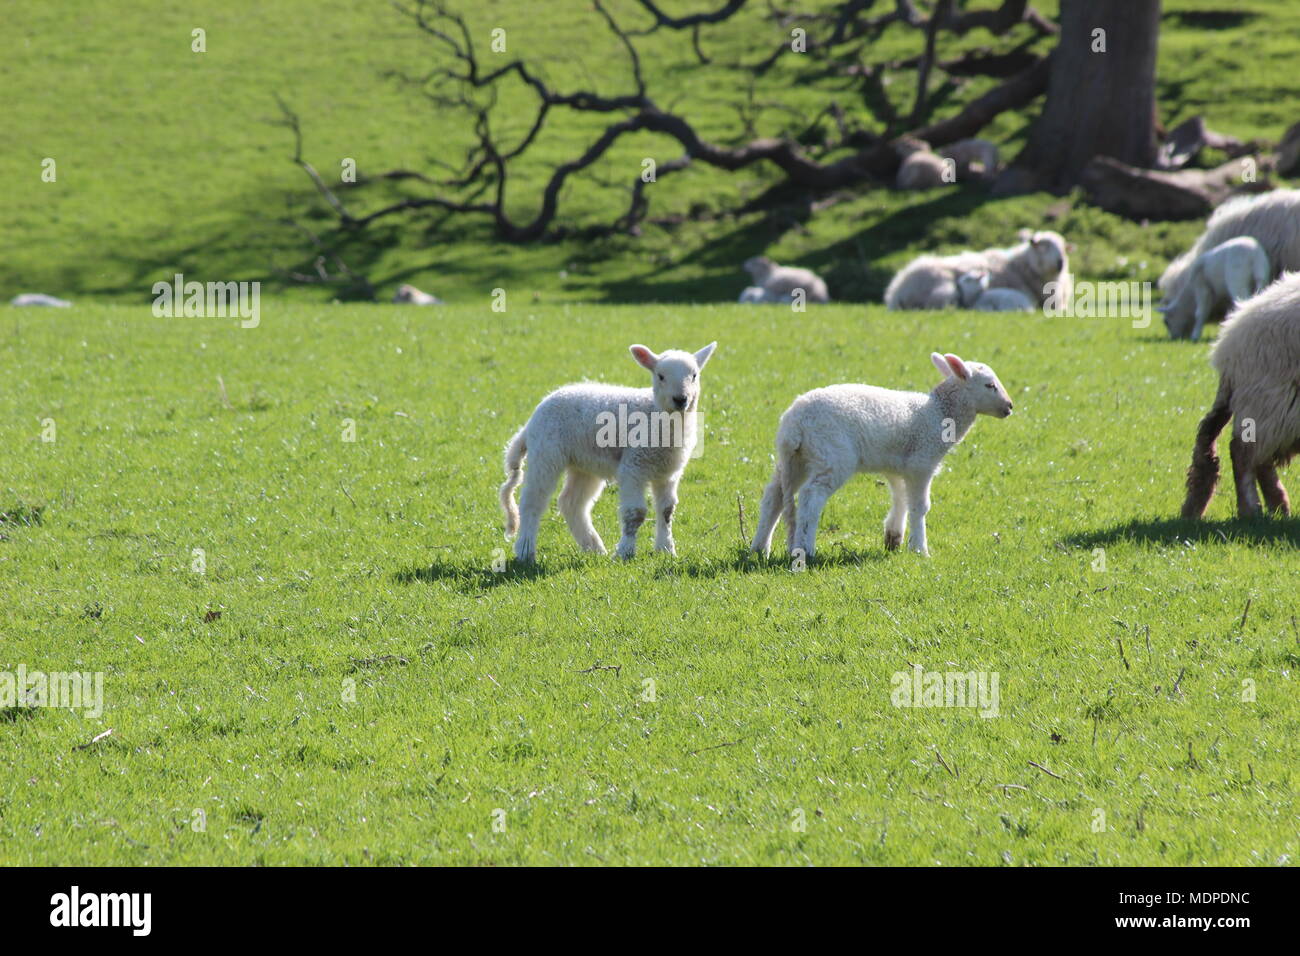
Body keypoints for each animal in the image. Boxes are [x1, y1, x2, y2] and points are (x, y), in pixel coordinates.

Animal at [500, 342, 717, 563]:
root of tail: (531, 422)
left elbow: (667, 511)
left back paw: (594, 547)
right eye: (661, 376)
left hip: (584, 464)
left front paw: (666, 550)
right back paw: (526, 550)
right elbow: (635, 513)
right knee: (532, 501)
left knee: (571, 503)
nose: (681, 399)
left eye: (694, 375)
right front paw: (625, 552)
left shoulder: (668, 473)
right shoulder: (633, 467)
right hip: (546, 453)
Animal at [750, 352, 1013, 559]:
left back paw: (760, 547)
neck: (938, 411)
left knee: (773, 496)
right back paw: (806, 549)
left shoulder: (897, 466)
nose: (1009, 407)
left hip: (797, 459)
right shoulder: (921, 462)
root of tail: (794, 424)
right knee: (811, 497)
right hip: (832, 455)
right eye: (990, 385)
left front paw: (893, 539)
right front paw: (920, 549)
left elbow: (900, 499)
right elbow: (919, 506)